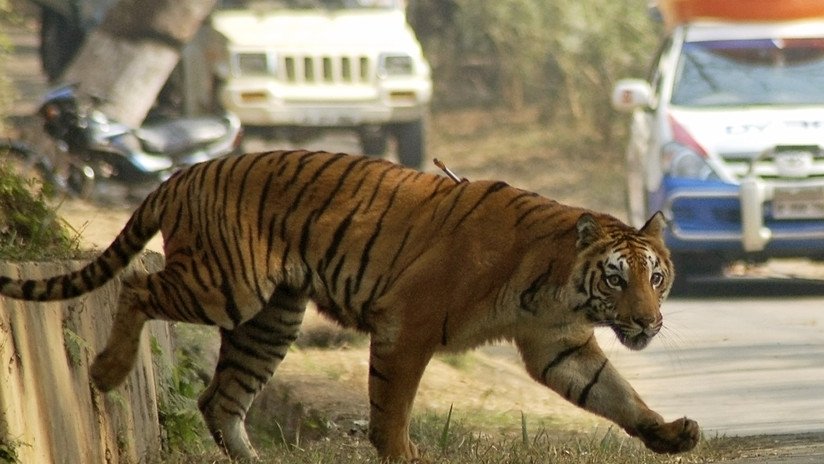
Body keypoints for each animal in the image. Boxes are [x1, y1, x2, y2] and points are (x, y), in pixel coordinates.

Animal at [0, 149, 699, 460]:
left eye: (656, 277)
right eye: (616, 280)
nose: (646, 321)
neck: (557, 285)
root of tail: (182, 173)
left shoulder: (559, 345)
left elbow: (616, 395)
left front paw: (668, 434)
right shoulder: (409, 326)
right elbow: (391, 407)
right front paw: (404, 457)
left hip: (270, 317)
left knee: (219, 399)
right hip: (227, 287)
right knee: (137, 288)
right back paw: (105, 371)